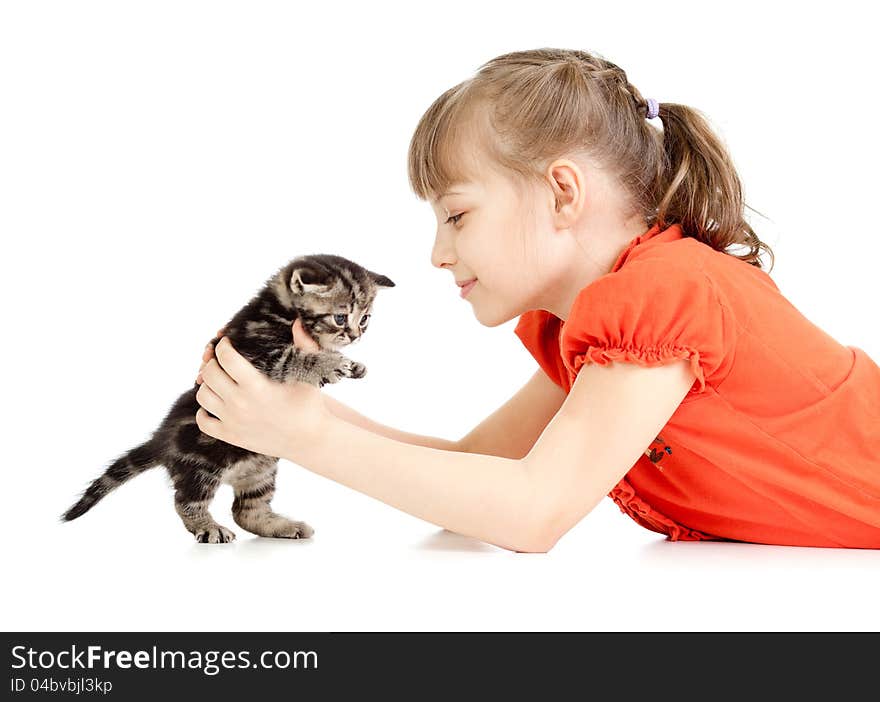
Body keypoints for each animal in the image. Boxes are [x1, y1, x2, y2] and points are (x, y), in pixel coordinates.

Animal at [62, 253, 392, 544]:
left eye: (365, 319)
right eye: (340, 317)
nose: (355, 335)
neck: (277, 311)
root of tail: (162, 440)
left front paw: (354, 364)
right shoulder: (260, 355)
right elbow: (297, 358)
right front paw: (330, 363)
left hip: (262, 466)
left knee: (245, 510)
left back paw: (282, 526)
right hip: (202, 462)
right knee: (185, 499)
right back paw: (207, 527)